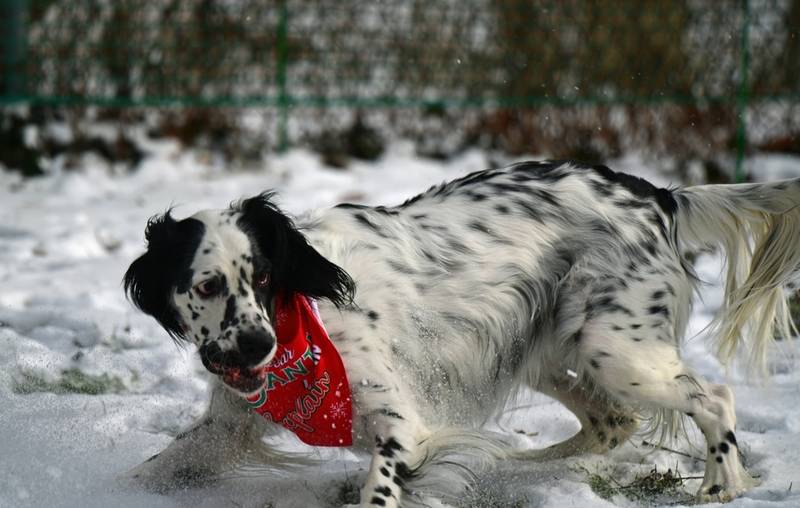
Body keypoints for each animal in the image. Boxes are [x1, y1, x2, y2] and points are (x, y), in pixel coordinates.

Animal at [123, 162, 800, 504]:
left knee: (714, 399)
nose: (258, 347)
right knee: (612, 422)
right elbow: (159, 467)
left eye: (264, 276)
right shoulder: (227, 427)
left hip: (615, 349)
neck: (302, 327)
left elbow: (382, 487)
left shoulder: (401, 426)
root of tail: (661, 196)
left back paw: (720, 484)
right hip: (546, 351)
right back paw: (520, 466)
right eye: (206, 285)